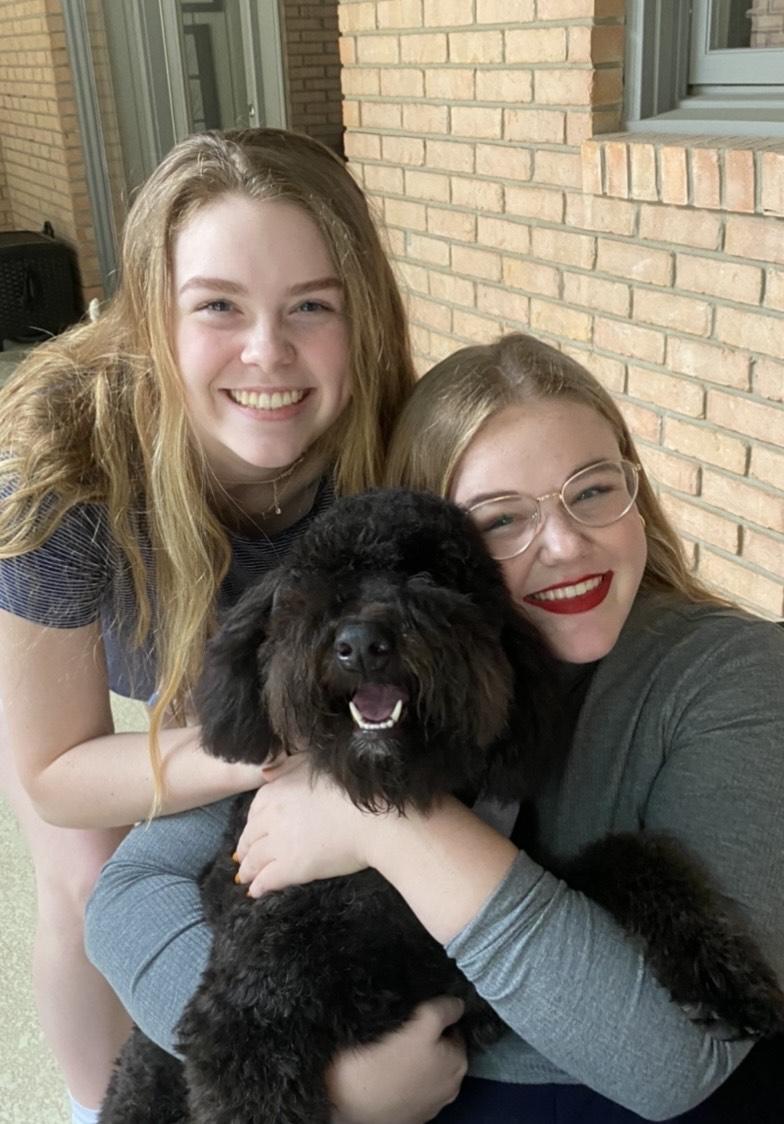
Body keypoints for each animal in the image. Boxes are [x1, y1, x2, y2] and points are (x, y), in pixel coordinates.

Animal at [100, 487, 781, 1119]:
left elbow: (629, 854)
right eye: (321, 581)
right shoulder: (245, 1022)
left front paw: (723, 977)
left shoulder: (487, 958)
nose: (362, 644)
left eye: (433, 577)